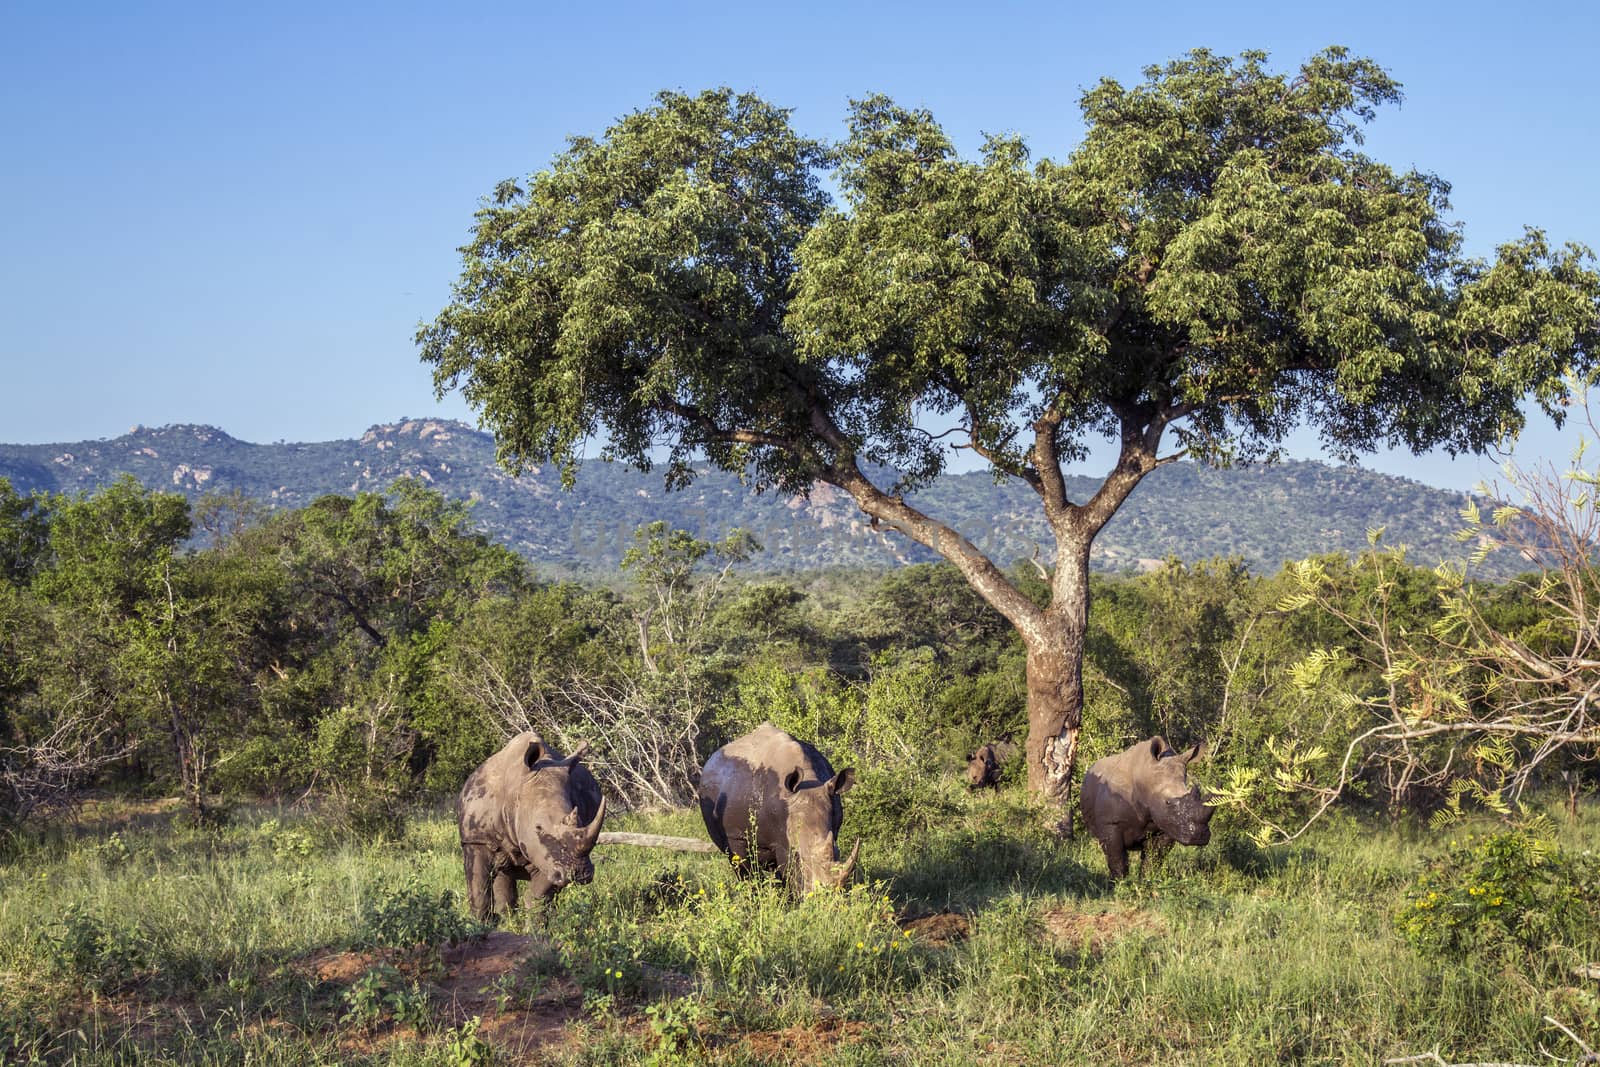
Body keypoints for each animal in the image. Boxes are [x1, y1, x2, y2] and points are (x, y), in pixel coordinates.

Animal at [457, 729, 604, 921]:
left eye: (580, 820)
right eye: (538, 827)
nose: (578, 873)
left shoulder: (548, 857)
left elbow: (538, 898)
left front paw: (535, 926)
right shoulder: (476, 839)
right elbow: (479, 894)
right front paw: (479, 924)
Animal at [694, 726, 857, 895]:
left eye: (837, 852)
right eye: (797, 855)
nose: (826, 895)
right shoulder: (736, 835)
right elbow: (749, 873)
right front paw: (756, 897)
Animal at [1088, 739, 1209, 883]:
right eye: (1167, 802)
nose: (1199, 836)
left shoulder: (1167, 824)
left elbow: (1153, 858)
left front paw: (1146, 882)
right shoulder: (1110, 823)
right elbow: (1117, 859)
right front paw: (1119, 883)